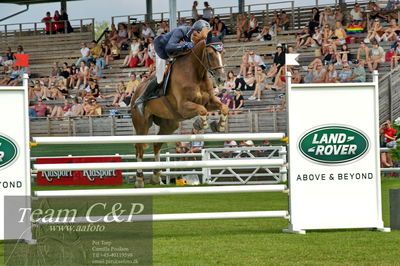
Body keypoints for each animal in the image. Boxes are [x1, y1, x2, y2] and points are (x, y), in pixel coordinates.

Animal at [130, 36, 227, 188]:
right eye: (210, 54)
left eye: (223, 53)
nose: (221, 79)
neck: (196, 73)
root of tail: (136, 92)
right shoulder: (183, 107)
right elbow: (202, 110)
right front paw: (201, 124)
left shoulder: (209, 101)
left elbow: (223, 107)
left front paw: (219, 125)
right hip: (142, 124)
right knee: (139, 148)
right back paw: (139, 179)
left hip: (169, 125)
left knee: (156, 144)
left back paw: (156, 176)